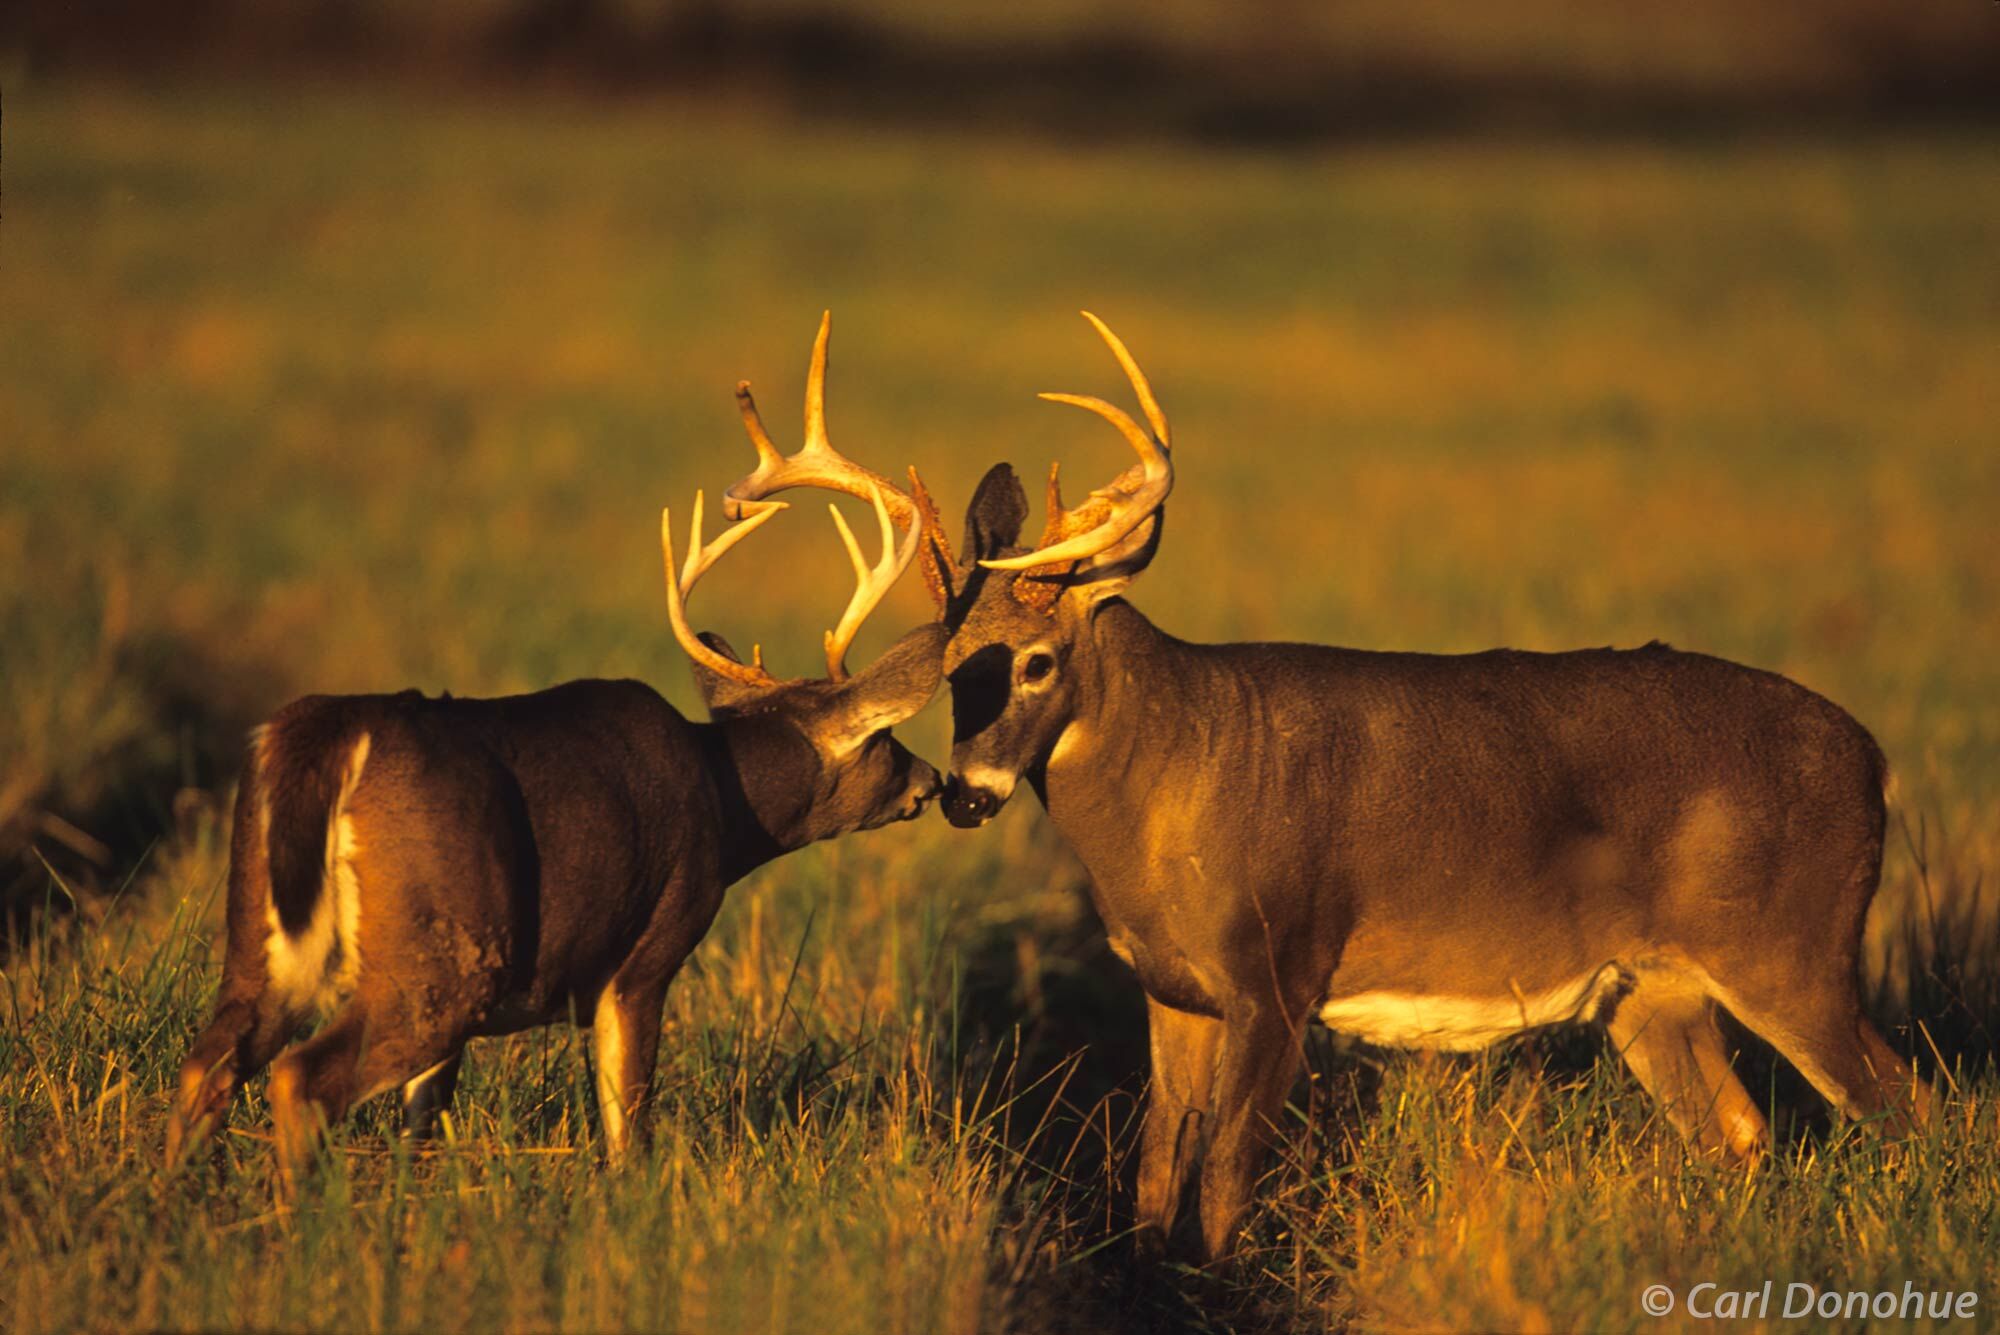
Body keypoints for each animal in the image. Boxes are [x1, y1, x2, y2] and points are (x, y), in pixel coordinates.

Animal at [166, 313, 952, 1175]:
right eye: (887, 738)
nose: (934, 779)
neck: (726, 797)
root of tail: (324, 735)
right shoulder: (645, 951)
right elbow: (627, 1118)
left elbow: (423, 1115)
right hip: (441, 955)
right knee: (299, 1077)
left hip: (261, 937)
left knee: (207, 1062)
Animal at [920, 309, 1936, 1263]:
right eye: (944, 664)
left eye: (1039, 661)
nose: (964, 794)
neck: (1178, 768)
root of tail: (1873, 757)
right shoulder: (1172, 987)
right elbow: (1158, 1164)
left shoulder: (1278, 967)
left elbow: (1227, 1168)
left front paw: (1213, 1280)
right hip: (1655, 991)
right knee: (1741, 1131)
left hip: (1792, 951)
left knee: (1917, 1106)